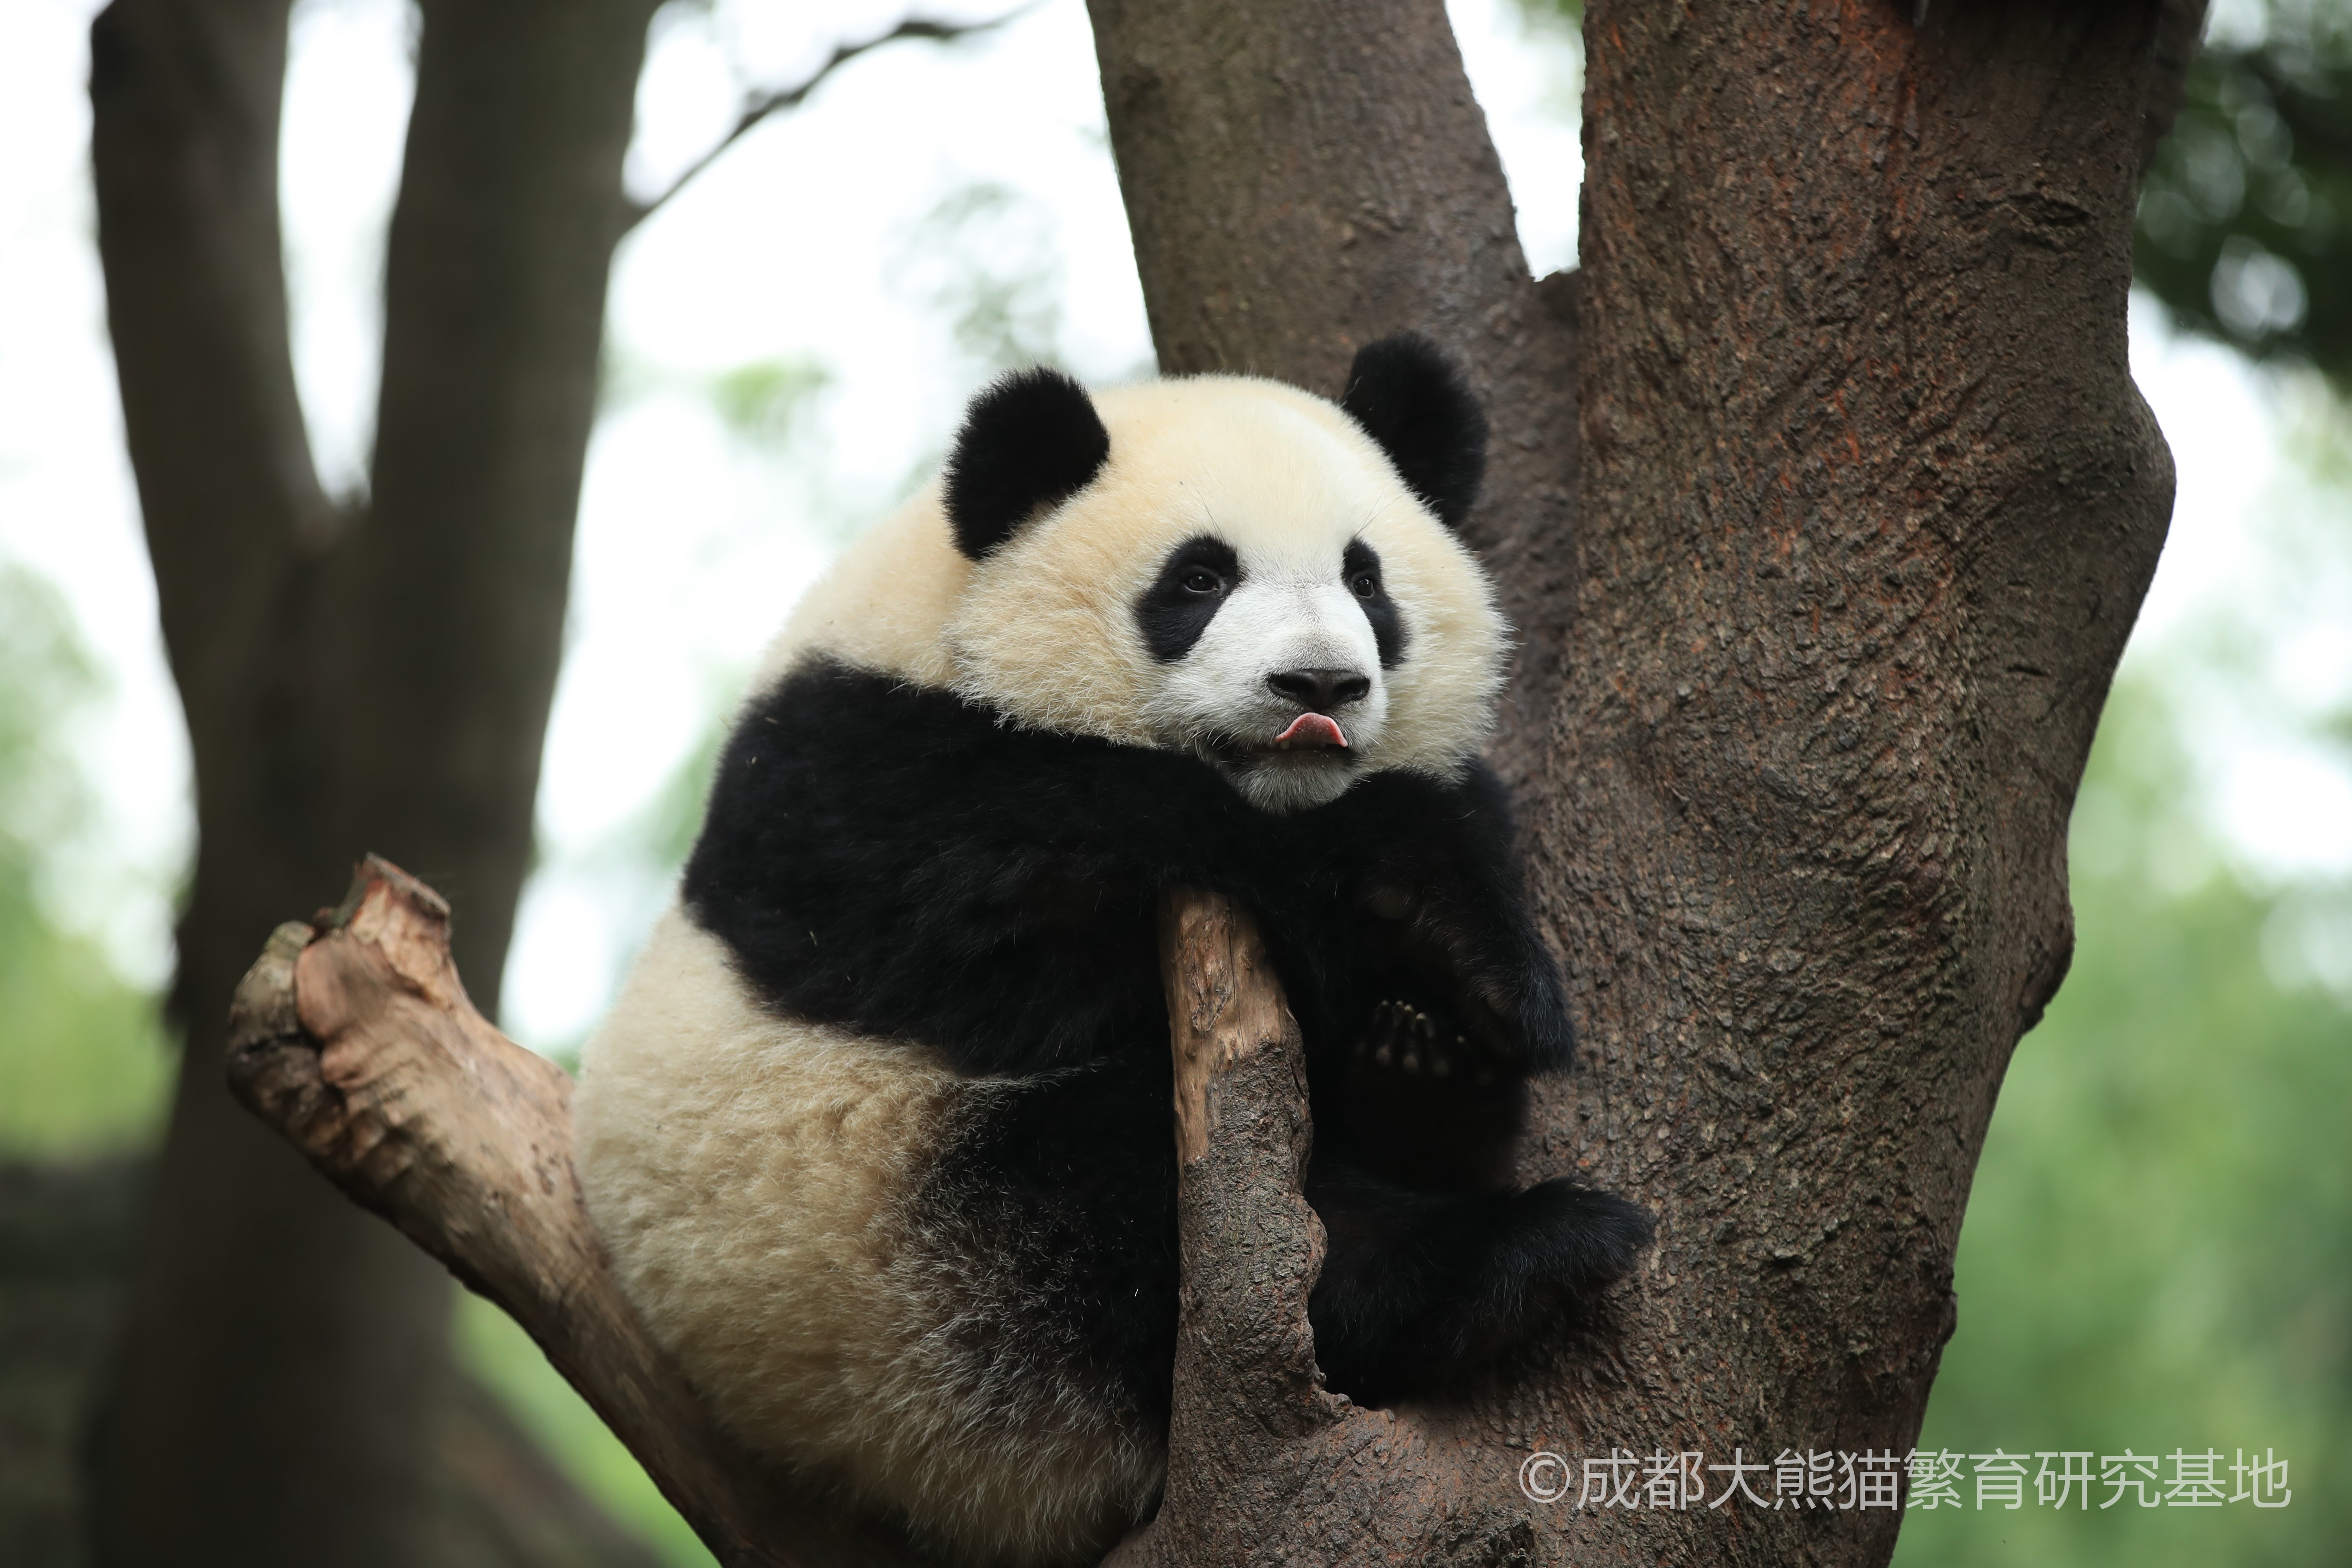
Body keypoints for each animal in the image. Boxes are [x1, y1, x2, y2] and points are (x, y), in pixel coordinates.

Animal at [573, 335, 1651, 1566]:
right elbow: (1022, 907)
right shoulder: (854, 788)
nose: (1318, 686)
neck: (945, 622)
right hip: (876, 1256)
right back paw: (1500, 1258)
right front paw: (1422, 898)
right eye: (1198, 580)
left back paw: (1428, 1079)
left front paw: (1462, 981)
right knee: (1114, 1200)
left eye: (1367, 580)